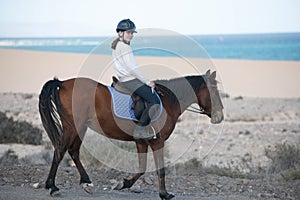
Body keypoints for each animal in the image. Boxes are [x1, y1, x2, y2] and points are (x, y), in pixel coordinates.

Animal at [38, 69, 224, 199]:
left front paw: (124, 183)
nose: (219, 116)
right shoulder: (158, 142)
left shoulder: (142, 141)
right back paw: (52, 187)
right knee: (60, 150)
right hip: (72, 127)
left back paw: (86, 183)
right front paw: (164, 194)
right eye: (214, 92)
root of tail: (62, 83)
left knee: (73, 151)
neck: (167, 101)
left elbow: (142, 168)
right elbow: (160, 169)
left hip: (80, 127)